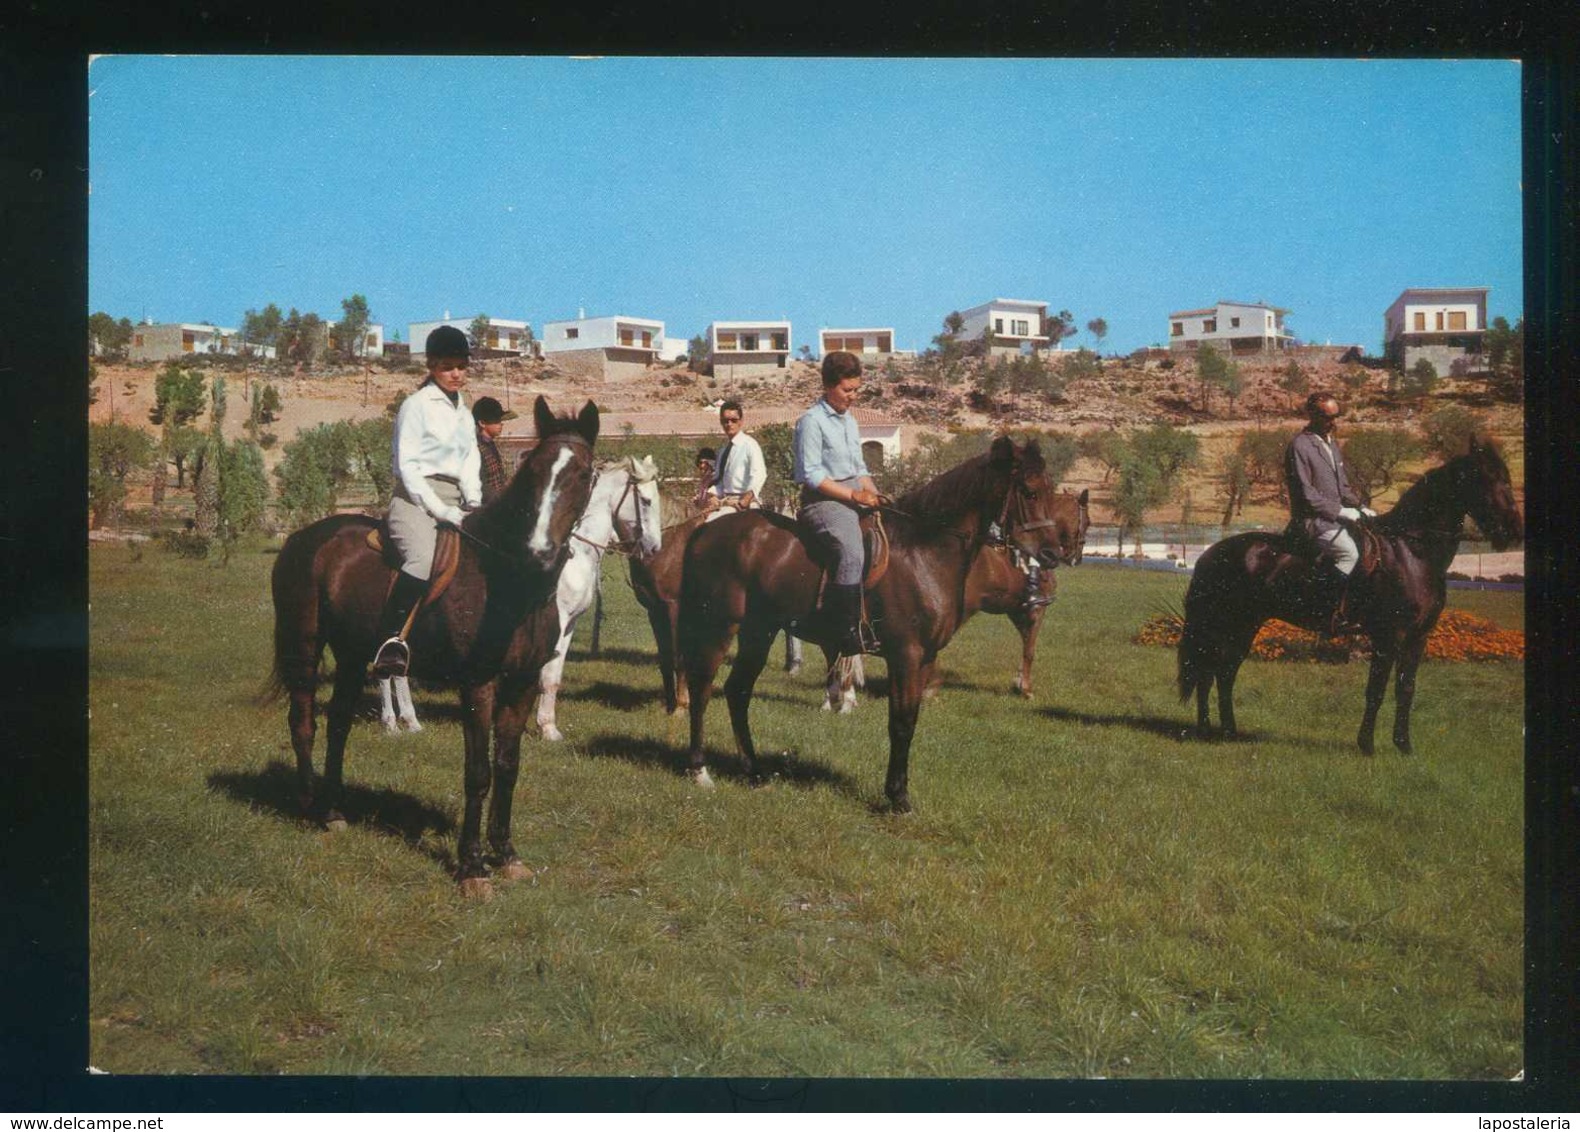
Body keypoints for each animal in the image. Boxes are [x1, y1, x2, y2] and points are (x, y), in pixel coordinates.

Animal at [270, 395, 597, 891]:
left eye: (581, 474)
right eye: (535, 470)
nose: (539, 553)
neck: (507, 579)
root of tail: (303, 537)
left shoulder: (520, 683)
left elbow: (508, 766)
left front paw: (506, 854)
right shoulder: (478, 684)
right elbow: (478, 772)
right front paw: (472, 868)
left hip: (352, 655)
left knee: (339, 723)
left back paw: (334, 810)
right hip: (304, 644)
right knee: (303, 721)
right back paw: (311, 806)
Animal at [379, 455, 663, 739]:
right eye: (646, 501)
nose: (654, 549)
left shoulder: (568, 625)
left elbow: (552, 676)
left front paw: (542, 725)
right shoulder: (555, 622)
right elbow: (545, 676)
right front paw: (545, 728)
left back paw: (408, 721)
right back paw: (394, 723)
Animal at [676, 436, 1061, 815]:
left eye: (1050, 490)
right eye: (1029, 492)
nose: (1053, 554)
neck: (924, 552)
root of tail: (705, 531)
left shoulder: (925, 658)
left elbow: (910, 719)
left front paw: (898, 791)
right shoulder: (905, 656)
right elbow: (900, 723)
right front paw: (898, 797)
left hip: (759, 631)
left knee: (738, 690)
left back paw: (754, 771)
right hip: (720, 626)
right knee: (702, 688)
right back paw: (700, 771)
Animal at [1181, 436, 1523, 755]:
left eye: (1506, 476)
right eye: (1490, 478)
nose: (1513, 531)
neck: (1412, 552)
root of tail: (1212, 552)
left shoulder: (1418, 637)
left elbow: (1406, 689)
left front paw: (1403, 745)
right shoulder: (1389, 636)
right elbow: (1376, 690)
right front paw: (1367, 745)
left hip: (1244, 626)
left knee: (1223, 672)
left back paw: (1226, 731)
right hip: (1227, 624)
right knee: (1210, 671)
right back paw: (1207, 730)